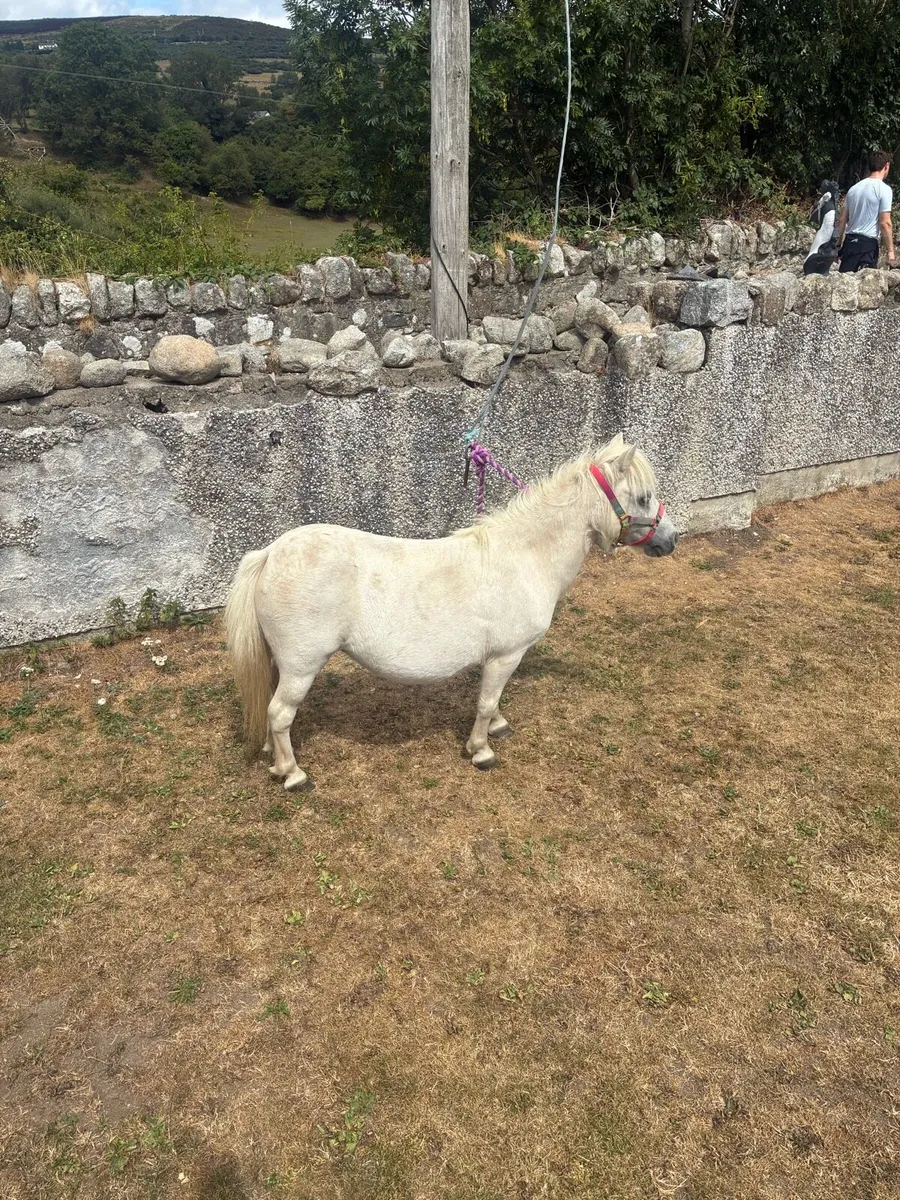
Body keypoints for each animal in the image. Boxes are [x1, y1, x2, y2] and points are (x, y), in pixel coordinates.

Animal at [225, 434, 678, 790]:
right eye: (642, 497)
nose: (671, 539)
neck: (525, 555)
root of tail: (270, 554)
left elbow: (493, 702)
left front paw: (498, 727)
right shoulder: (506, 655)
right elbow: (486, 702)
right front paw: (481, 750)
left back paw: (274, 758)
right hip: (302, 665)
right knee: (280, 713)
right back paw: (293, 774)